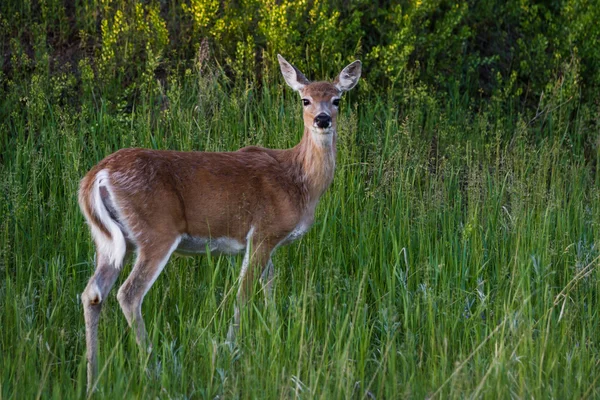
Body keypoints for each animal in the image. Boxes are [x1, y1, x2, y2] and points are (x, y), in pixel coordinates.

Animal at [78, 54, 360, 390]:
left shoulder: (265, 240)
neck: (299, 181)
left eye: (337, 99)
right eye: (305, 99)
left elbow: (269, 285)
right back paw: (154, 370)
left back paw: (92, 377)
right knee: (128, 294)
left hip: (107, 240)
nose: (322, 119)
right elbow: (244, 293)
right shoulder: (264, 232)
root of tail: (98, 176)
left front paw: (275, 334)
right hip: (156, 231)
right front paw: (229, 350)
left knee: (92, 293)